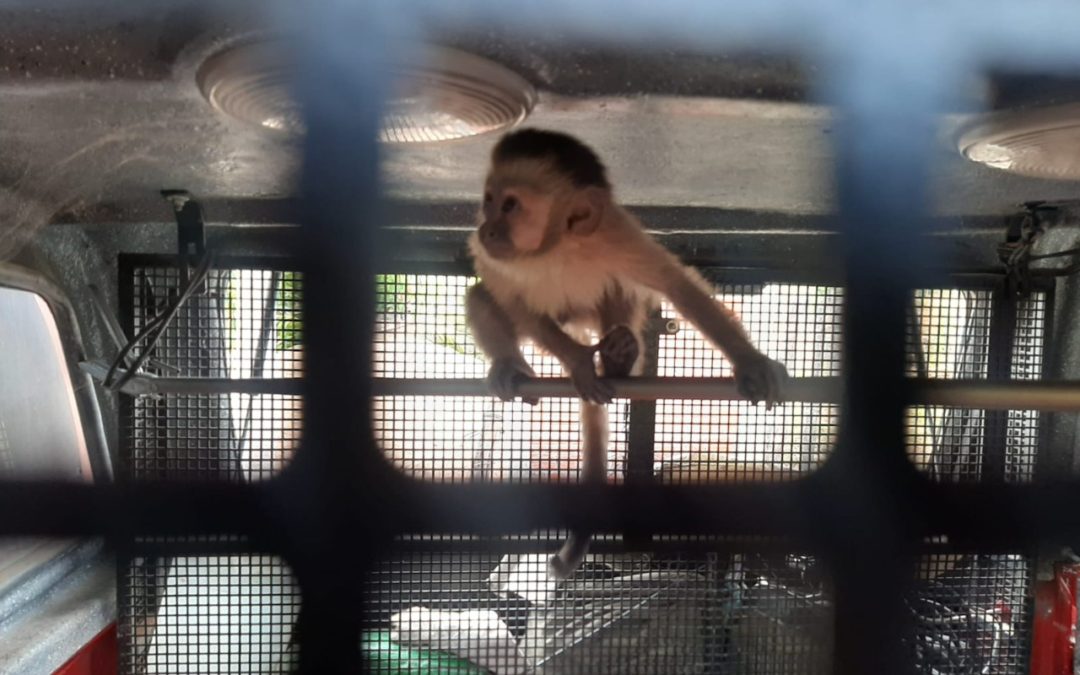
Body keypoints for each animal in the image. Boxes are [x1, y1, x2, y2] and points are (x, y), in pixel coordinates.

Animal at [464, 127, 786, 578]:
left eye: (510, 206)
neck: (554, 247)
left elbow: (674, 285)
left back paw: (620, 354)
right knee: (484, 298)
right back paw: (512, 366)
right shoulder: (493, 257)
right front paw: (579, 362)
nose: (488, 227)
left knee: (618, 288)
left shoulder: (613, 233)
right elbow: (512, 300)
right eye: (489, 199)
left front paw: (750, 362)